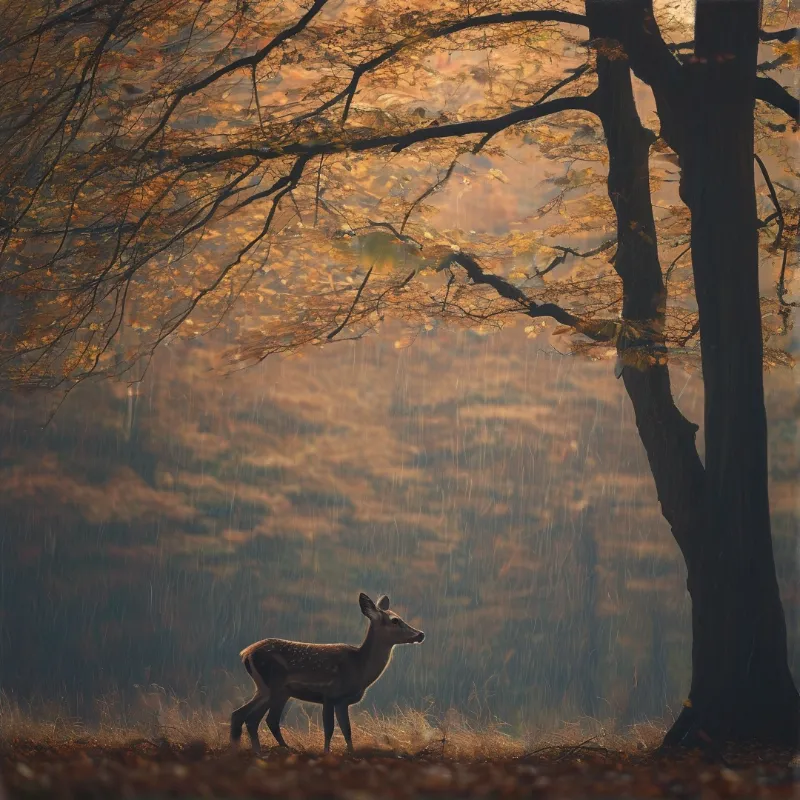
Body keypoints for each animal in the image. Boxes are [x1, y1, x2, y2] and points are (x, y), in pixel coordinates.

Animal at [230, 592, 424, 755]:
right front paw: (326, 753)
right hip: (273, 686)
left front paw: (351, 753)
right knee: (256, 718)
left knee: (246, 715)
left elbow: (347, 730)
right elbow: (329, 729)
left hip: (273, 690)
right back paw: (262, 752)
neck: (359, 668)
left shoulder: (342, 701)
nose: (420, 634)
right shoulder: (330, 695)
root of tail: (246, 653)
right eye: (395, 620)